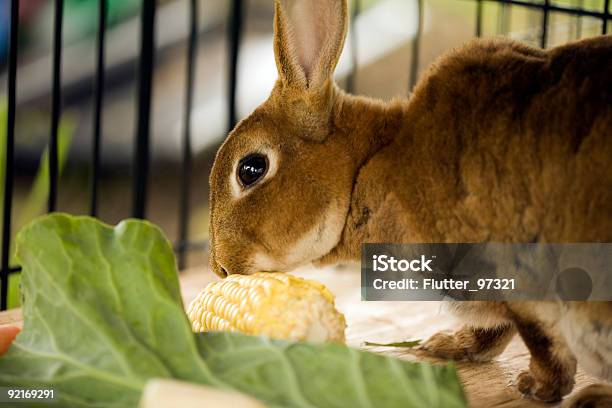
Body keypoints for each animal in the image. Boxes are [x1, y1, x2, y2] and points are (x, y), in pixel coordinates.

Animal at [208, 0, 608, 404]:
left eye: (251, 169)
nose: (222, 268)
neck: (369, 164)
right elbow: (496, 331)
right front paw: (449, 345)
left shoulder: (508, 271)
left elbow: (538, 339)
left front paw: (538, 386)